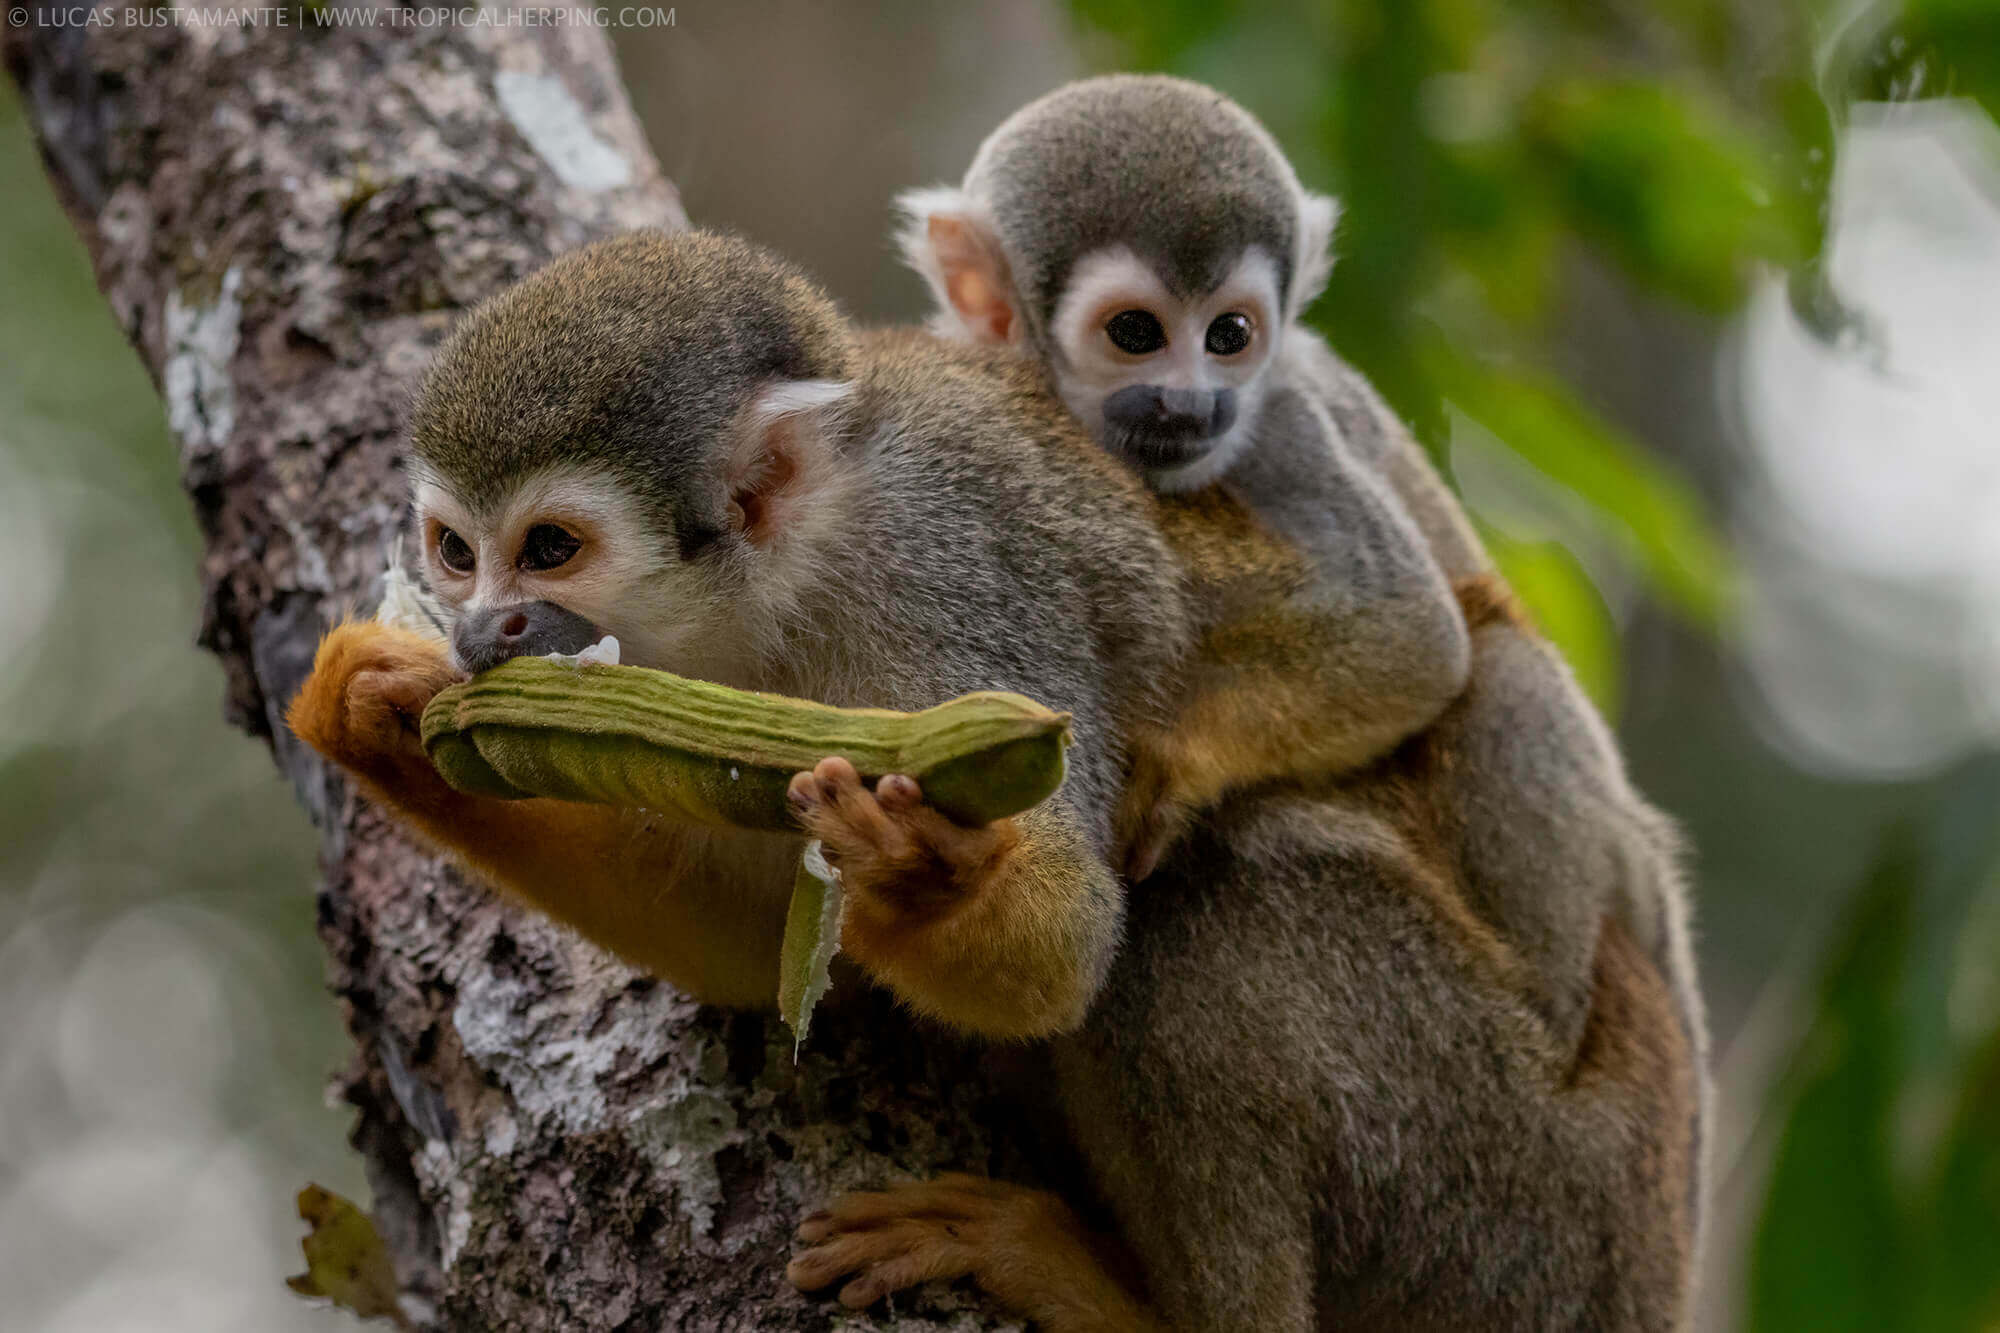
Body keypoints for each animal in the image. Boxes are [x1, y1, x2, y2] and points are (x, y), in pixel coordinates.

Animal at [289, 227, 1703, 1330]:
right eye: (455, 551)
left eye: (549, 550)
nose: (484, 631)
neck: (795, 577)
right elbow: (748, 948)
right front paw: (382, 715)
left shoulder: (956, 576)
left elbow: (1064, 945)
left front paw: (922, 874)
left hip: (1511, 1195)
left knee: (1206, 911)